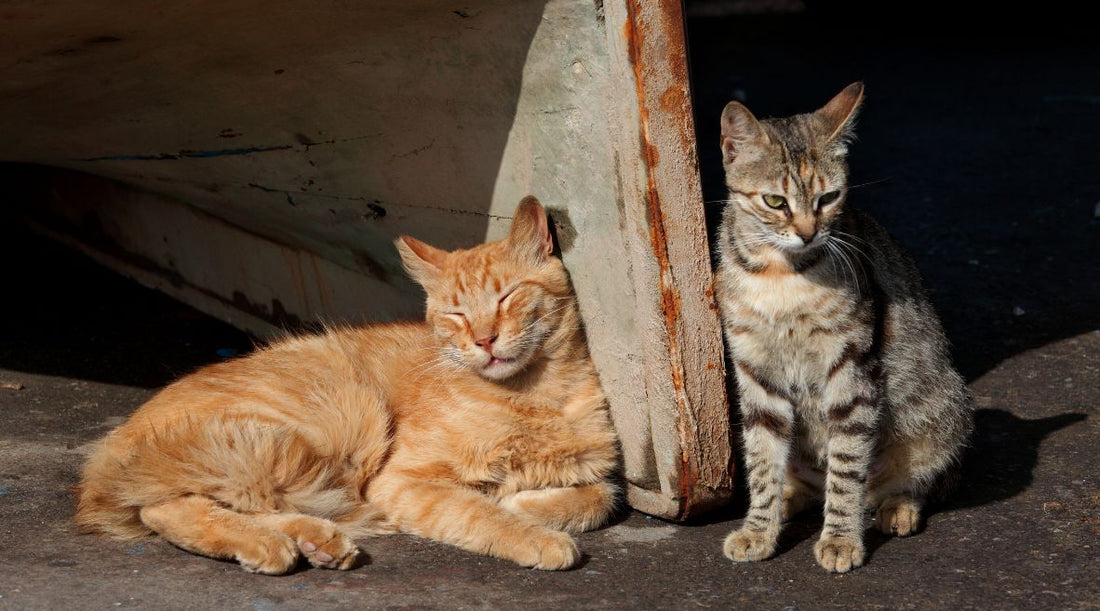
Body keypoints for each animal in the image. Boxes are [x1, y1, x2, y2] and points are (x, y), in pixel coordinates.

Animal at [77, 197, 624, 572]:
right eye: (455, 314)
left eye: (508, 296)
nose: (485, 340)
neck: (533, 397)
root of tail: (115, 442)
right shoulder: (403, 481)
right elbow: (479, 513)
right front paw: (533, 532)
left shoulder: (593, 468)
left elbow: (599, 498)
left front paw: (527, 503)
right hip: (334, 420)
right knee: (170, 505)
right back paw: (269, 543)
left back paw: (312, 541)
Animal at [712, 82, 972, 572]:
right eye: (775, 201)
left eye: (829, 198)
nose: (808, 232)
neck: (782, 275)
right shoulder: (755, 370)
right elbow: (762, 460)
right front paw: (758, 528)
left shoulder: (852, 369)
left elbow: (847, 466)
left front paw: (839, 539)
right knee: (804, 481)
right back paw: (787, 501)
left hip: (942, 409)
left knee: (910, 480)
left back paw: (897, 506)